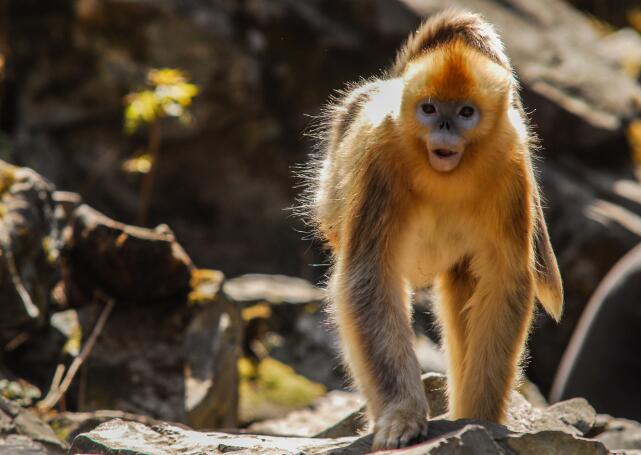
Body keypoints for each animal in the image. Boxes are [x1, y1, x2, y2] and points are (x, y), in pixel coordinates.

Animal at [298, 8, 560, 450]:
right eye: (430, 109)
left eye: (466, 113)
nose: (445, 129)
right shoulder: (381, 159)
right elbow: (368, 278)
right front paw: (402, 415)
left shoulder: (511, 169)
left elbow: (506, 279)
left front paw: (481, 417)